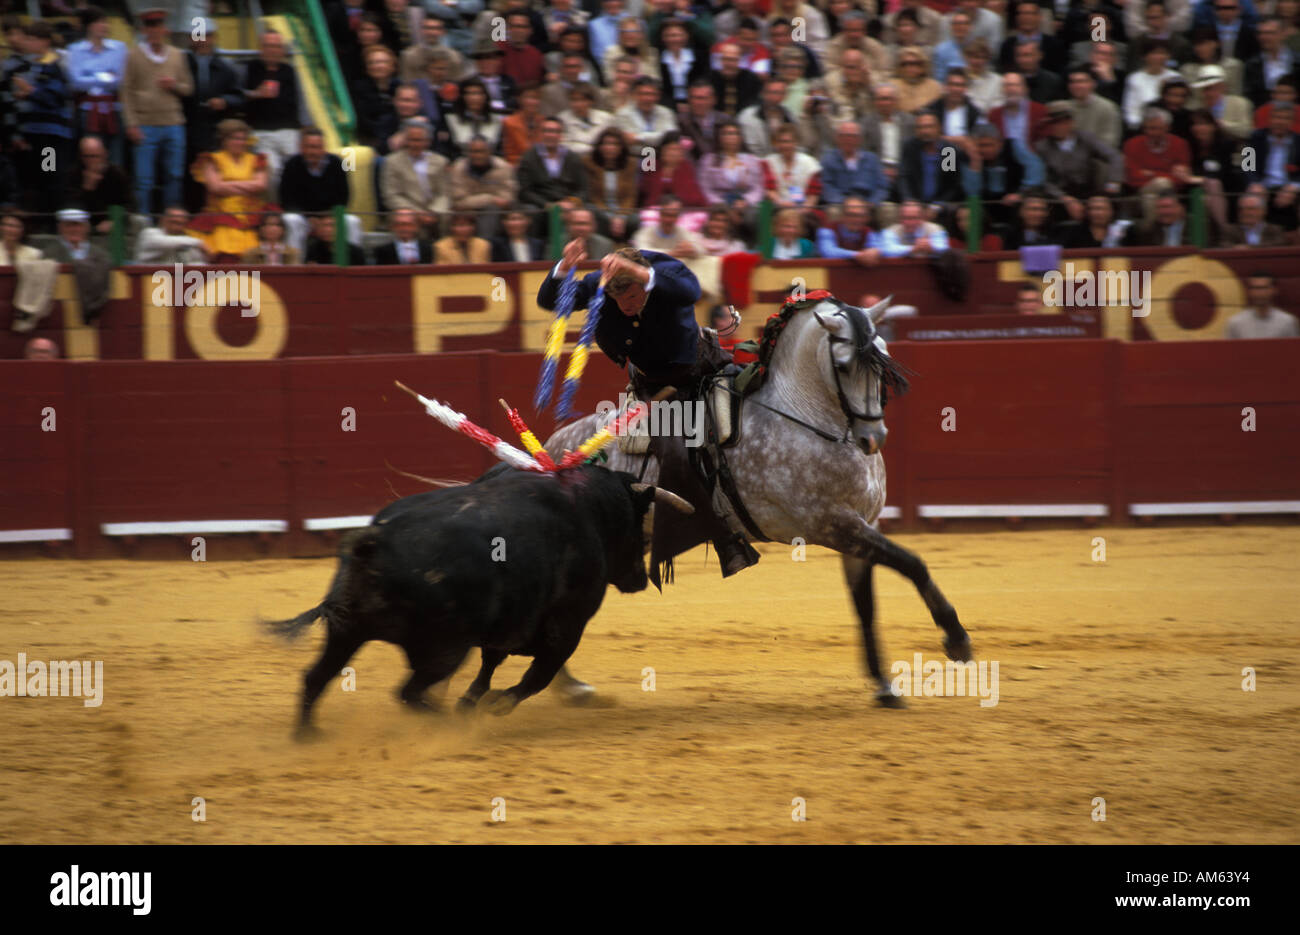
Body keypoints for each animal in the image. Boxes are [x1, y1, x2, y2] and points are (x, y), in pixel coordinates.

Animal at [266, 465, 691, 733]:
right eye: (640, 528)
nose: (640, 578)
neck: (592, 510)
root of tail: (377, 540)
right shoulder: (567, 625)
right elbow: (537, 675)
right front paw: (491, 706)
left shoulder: (511, 621)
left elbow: (491, 665)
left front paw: (471, 702)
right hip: (442, 649)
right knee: (408, 692)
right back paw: (446, 721)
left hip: (346, 632)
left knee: (316, 677)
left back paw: (307, 735)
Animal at [543, 296, 972, 707]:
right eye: (845, 365)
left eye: (882, 355)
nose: (873, 437)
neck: (803, 415)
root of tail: (553, 450)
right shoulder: (832, 524)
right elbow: (912, 563)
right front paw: (956, 639)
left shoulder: (863, 526)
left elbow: (865, 604)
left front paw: (884, 687)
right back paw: (568, 687)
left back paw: (569, 687)